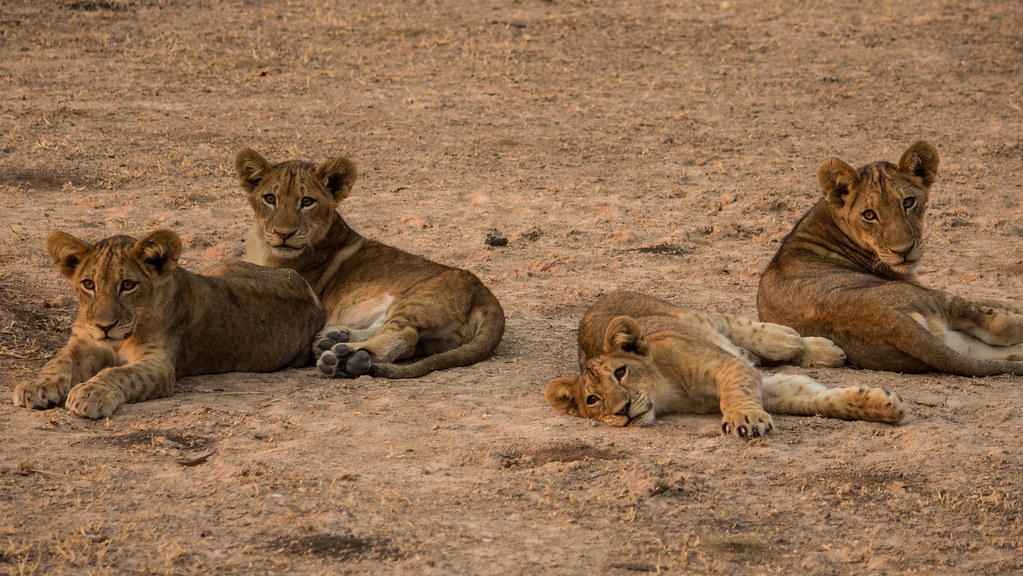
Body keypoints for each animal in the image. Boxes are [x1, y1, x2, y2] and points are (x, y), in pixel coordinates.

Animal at [13, 230, 325, 419]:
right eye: (88, 284)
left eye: (128, 285)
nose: (104, 326)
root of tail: (312, 294)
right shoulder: (84, 342)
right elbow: (57, 361)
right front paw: (36, 386)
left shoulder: (160, 365)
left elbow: (120, 374)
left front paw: (91, 392)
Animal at [234, 149, 505, 379]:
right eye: (270, 198)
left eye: (307, 201)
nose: (283, 234)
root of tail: (486, 294)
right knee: (403, 338)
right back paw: (333, 339)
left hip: (418, 299)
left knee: (403, 335)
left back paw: (345, 358)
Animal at [545, 291, 905, 437]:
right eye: (593, 399)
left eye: (621, 372)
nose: (621, 410)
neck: (666, 392)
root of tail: (601, 300)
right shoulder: (766, 386)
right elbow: (816, 398)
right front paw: (880, 404)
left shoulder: (726, 366)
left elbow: (735, 392)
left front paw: (744, 419)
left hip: (697, 316)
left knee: (740, 326)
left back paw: (800, 343)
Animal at [757, 141, 1023, 375]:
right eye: (869, 215)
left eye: (908, 202)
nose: (903, 251)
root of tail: (887, 320)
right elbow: (994, 301)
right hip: (933, 298)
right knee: (996, 324)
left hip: (953, 342)